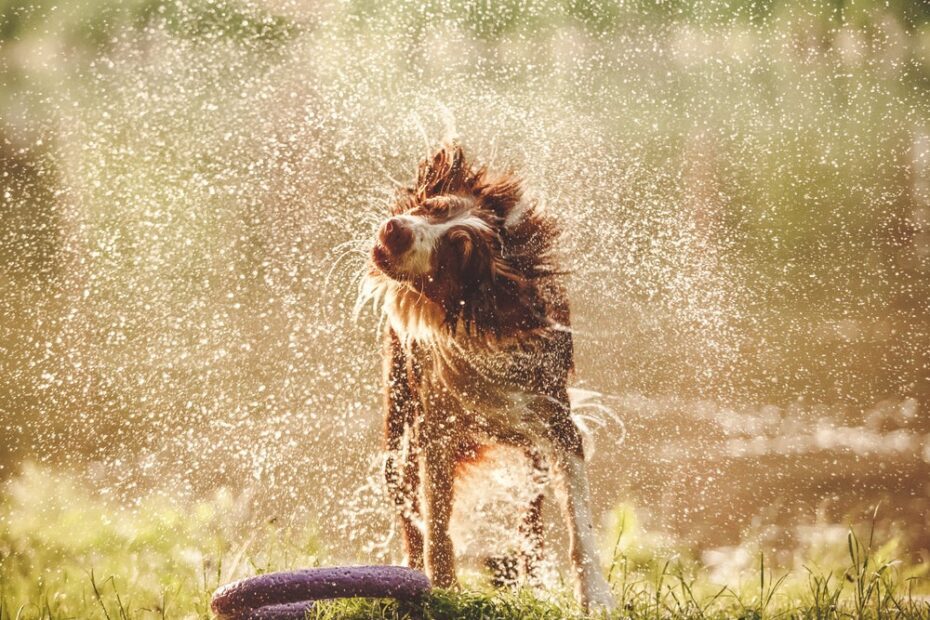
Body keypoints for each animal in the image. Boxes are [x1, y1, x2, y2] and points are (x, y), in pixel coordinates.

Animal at [360, 142, 616, 612]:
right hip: (398, 413)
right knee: (404, 495)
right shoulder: (435, 429)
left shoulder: (556, 420)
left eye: (456, 251)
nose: (395, 229)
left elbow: (578, 522)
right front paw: (442, 588)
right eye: (432, 207)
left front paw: (596, 596)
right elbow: (437, 526)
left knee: (530, 518)